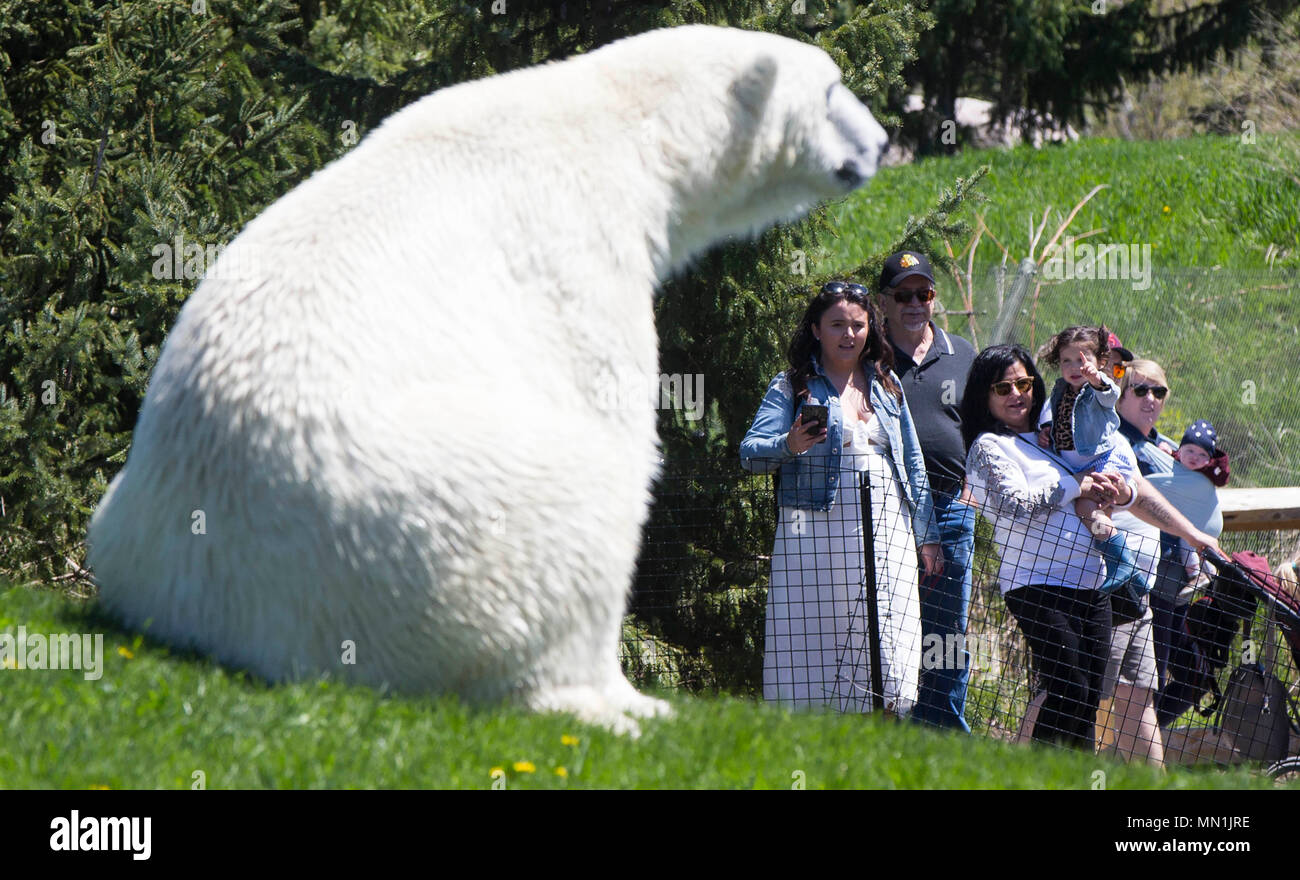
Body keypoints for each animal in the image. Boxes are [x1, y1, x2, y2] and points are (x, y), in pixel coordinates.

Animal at [86, 24, 889, 733]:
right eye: (832, 89)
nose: (881, 142)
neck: (624, 133)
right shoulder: (579, 254)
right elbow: (608, 413)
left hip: (132, 529)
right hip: (434, 517)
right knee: (571, 511)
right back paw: (606, 703)